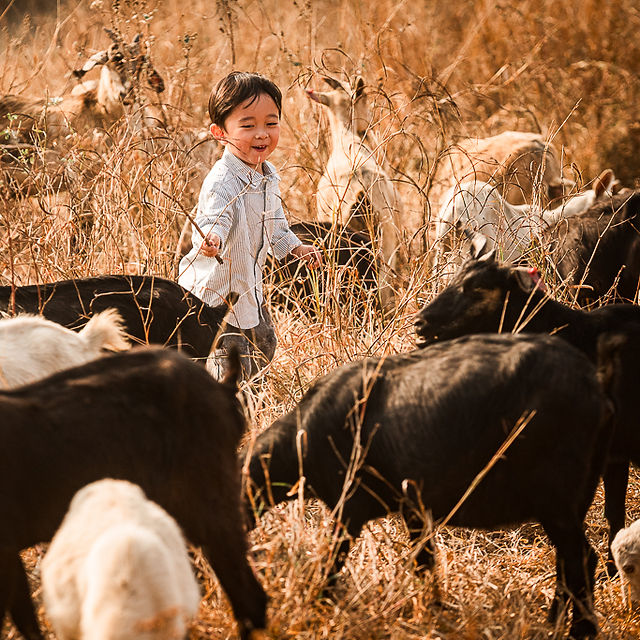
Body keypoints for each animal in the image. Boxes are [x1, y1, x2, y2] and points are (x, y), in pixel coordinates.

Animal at [244, 333, 611, 639]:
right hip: (573, 500)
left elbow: (332, 563)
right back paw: (552, 624)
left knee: (582, 559)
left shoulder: (348, 510)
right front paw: (434, 610)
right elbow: (425, 562)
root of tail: (594, 387)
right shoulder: (414, 509)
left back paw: (581, 630)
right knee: (566, 563)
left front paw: (318, 602)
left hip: (555, 497)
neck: (299, 440)